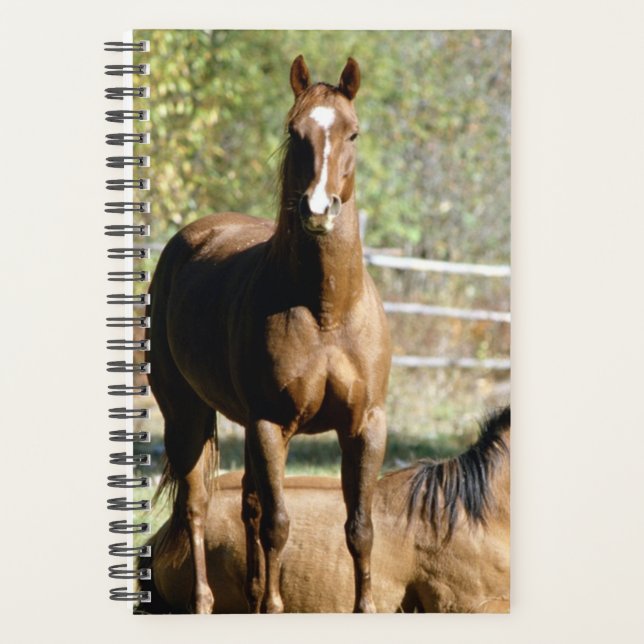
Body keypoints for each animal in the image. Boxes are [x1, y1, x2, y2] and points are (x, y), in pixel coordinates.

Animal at [146, 55, 392, 613]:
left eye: (353, 133)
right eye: (294, 132)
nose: (318, 210)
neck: (327, 314)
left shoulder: (366, 426)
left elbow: (361, 528)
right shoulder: (270, 425)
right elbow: (279, 526)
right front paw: (275, 608)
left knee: (248, 508)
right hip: (187, 416)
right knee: (197, 507)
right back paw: (204, 602)